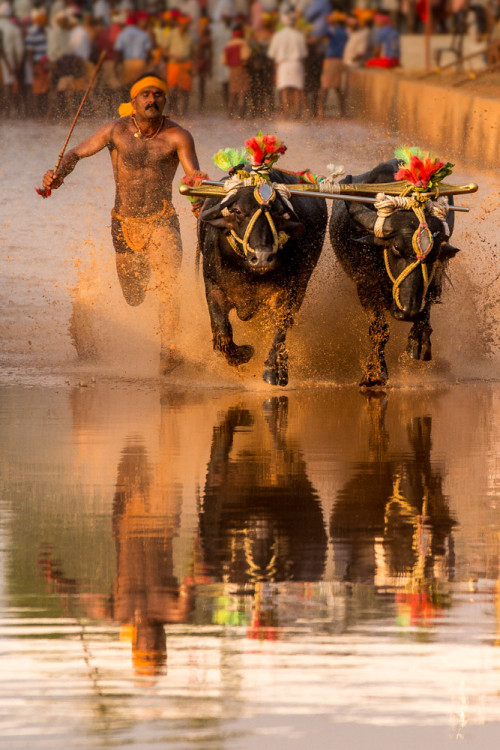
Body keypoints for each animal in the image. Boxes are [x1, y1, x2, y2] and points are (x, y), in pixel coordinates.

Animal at [330, 162, 458, 390]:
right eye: (396, 248)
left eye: (434, 254)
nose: (407, 311)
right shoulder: (366, 287)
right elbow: (379, 329)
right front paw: (374, 372)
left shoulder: (434, 283)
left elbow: (426, 312)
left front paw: (419, 343)